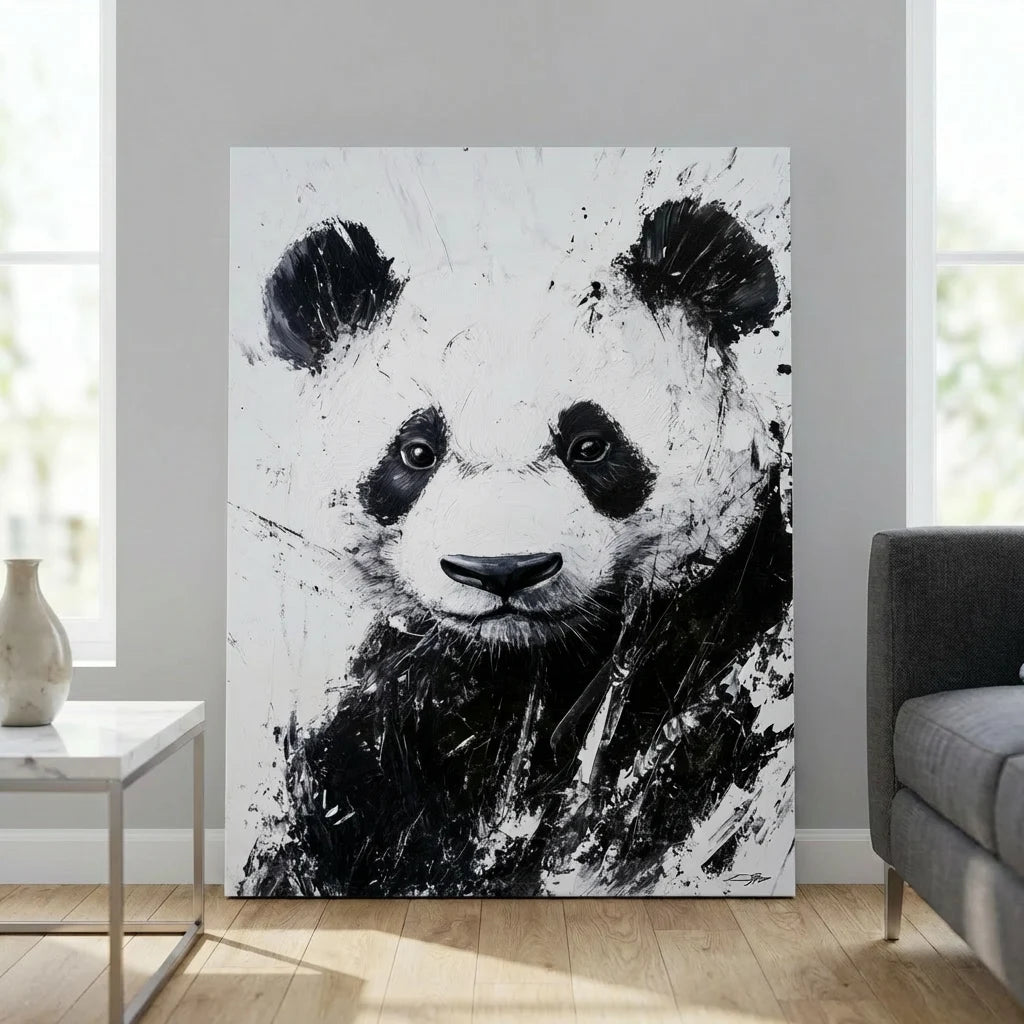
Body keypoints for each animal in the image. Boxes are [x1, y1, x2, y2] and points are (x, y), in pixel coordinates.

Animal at [233, 149, 793, 898]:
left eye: (592, 445)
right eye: (417, 451)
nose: (501, 571)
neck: (528, 667)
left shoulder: (706, 653)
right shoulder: (392, 725)